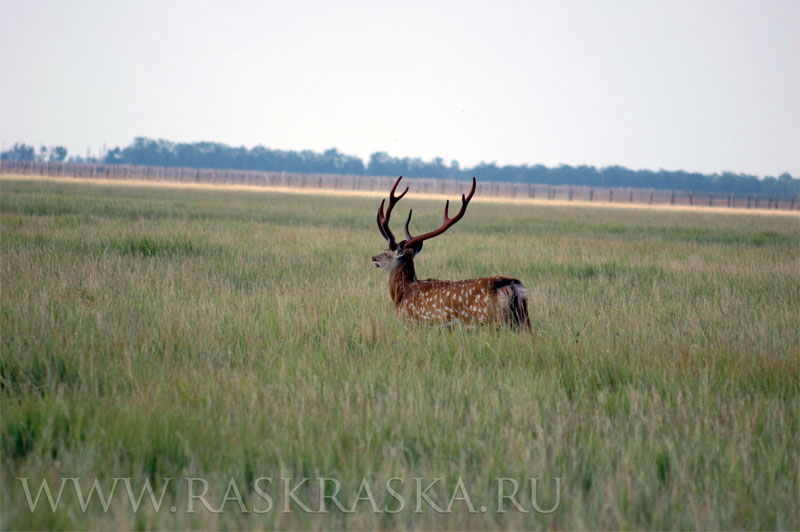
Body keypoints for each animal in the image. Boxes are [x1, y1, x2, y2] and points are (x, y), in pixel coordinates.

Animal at [370, 177, 532, 330]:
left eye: (386, 252)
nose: (373, 257)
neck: (403, 292)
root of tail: (511, 286)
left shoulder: (412, 322)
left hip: (489, 320)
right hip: (523, 319)